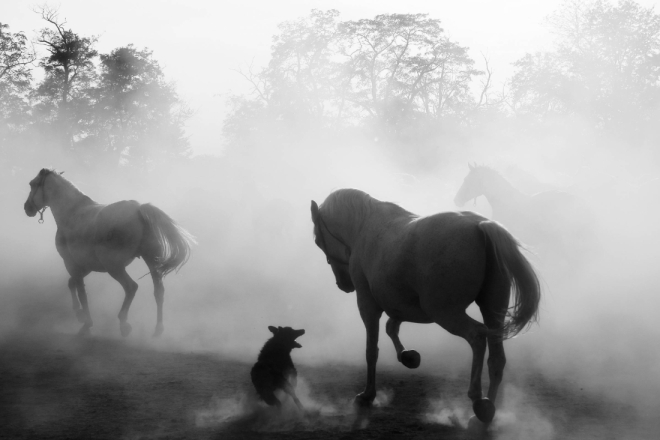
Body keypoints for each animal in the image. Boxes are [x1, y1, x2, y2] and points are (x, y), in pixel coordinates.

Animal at [24, 168, 195, 336]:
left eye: (33, 184)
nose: (27, 208)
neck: (72, 212)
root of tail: (139, 209)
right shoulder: (86, 266)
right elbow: (72, 283)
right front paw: (79, 313)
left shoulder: (71, 263)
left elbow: (81, 292)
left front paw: (87, 323)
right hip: (151, 262)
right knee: (158, 292)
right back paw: (158, 328)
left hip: (115, 267)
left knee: (131, 287)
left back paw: (124, 324)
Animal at [312, 189, 540, 426]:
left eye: (318, 240)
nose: (344, 284)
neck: (364, 226)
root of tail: (480, 225)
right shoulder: (403, 305)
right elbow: (391, 328)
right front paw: (408, 356)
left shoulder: (368, 304)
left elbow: (371, 350)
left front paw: (367, 395)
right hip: (492, 311)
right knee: (496, 358)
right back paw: (484, 413)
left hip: (444, 312)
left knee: (477, 336)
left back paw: (478, 400)